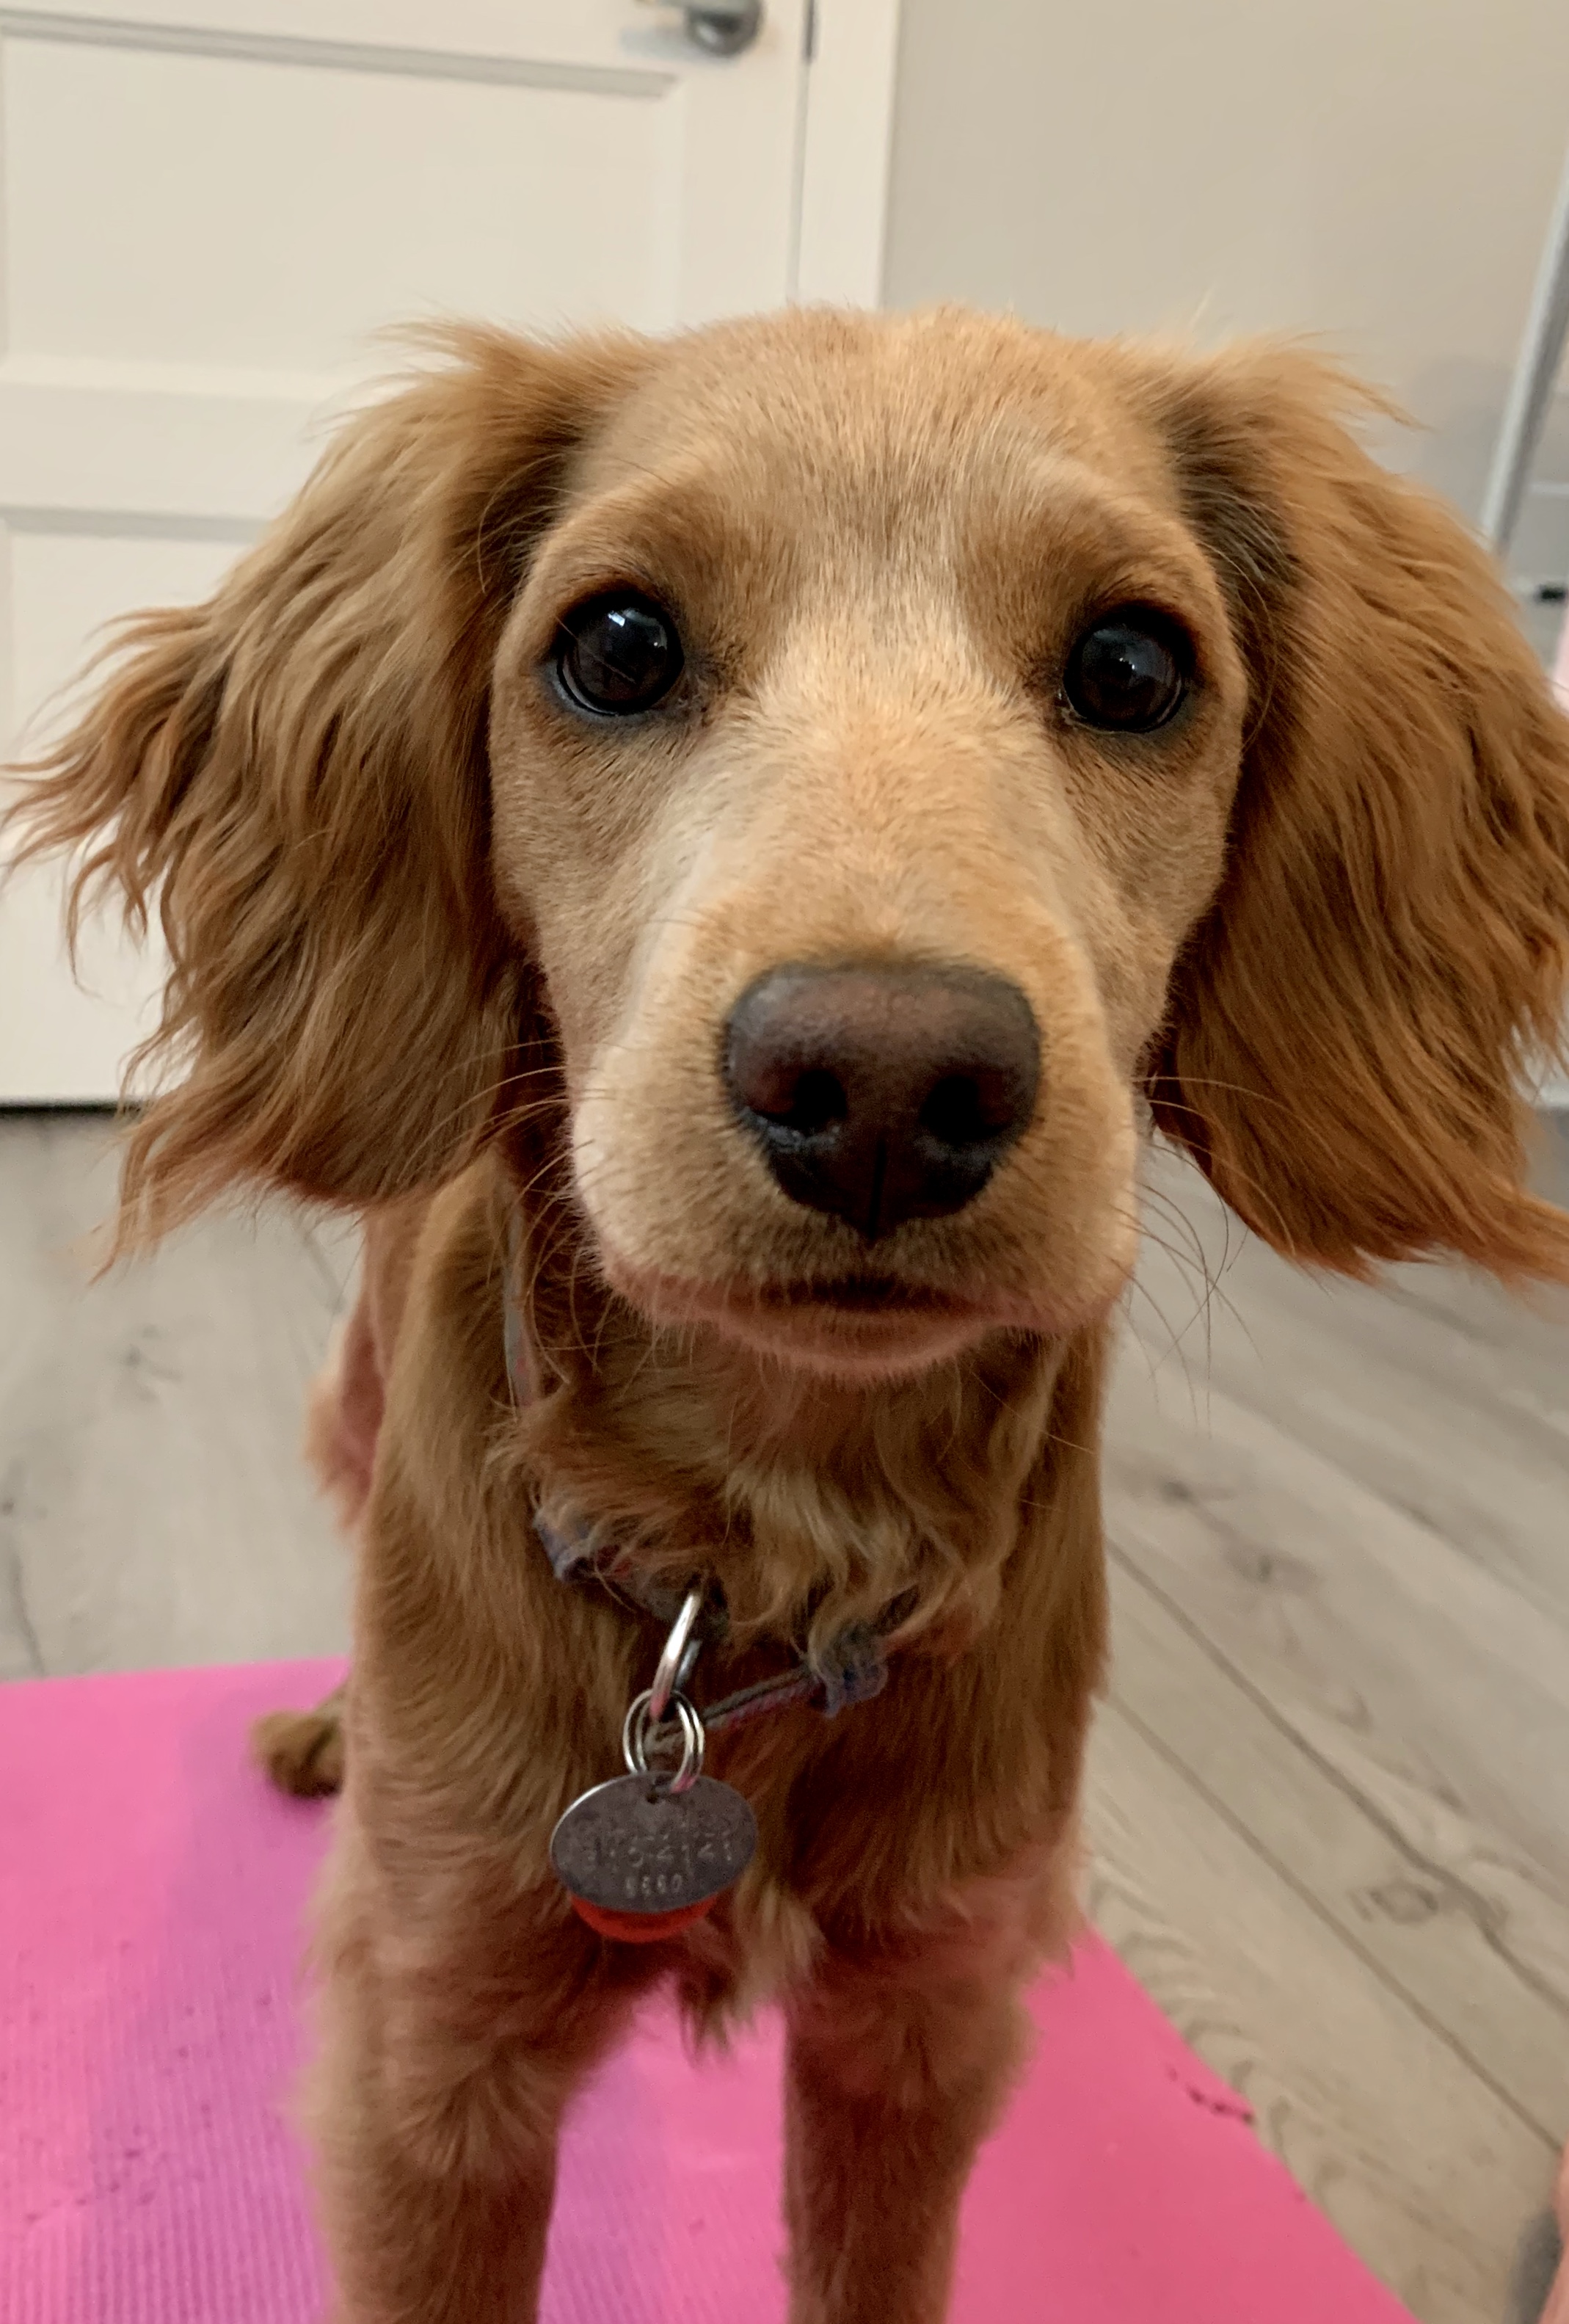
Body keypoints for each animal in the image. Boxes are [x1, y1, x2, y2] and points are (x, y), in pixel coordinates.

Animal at [13, 306, 1569, 2323]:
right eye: (615, 645)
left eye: (1132, 664)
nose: (889, 1085)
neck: (758, 1547)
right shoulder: (433, 2064)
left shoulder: (921, 2022)